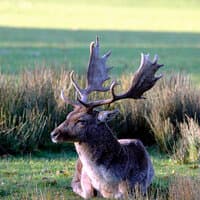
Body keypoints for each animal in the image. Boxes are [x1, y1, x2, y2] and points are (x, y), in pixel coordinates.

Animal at [50, 36, 163, 199]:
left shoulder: (139, 187)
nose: (54, 133)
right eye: (68, 115)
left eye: (81, 121)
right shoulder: (86, 183)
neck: (110, 185)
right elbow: (89, 193)